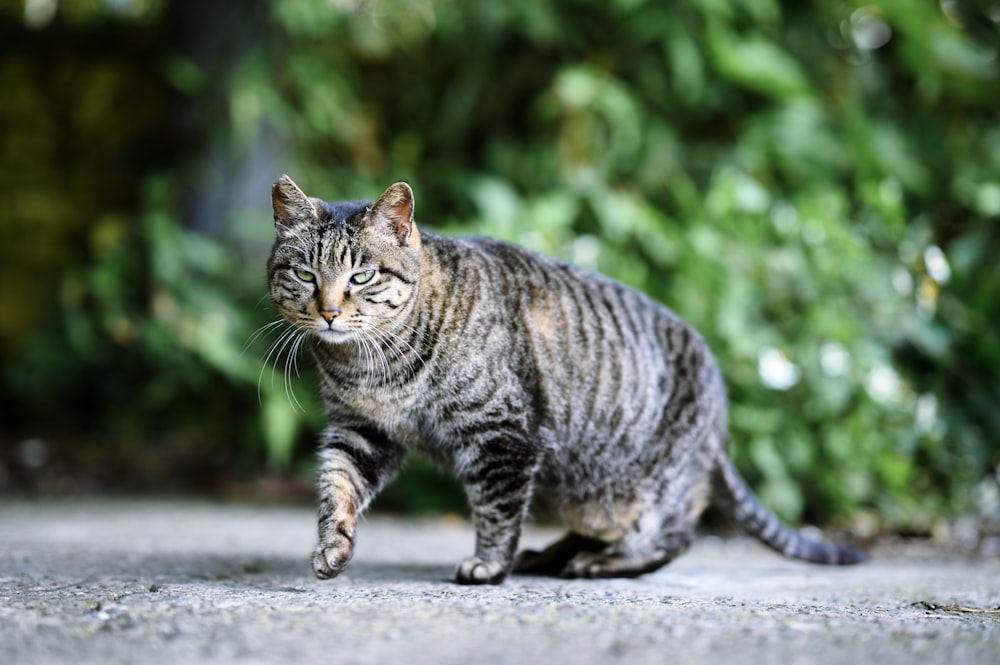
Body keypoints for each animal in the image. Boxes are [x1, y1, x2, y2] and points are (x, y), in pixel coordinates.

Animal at [266, 174, 868, 584]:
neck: (373, 366)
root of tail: (720, 410)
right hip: (586, 491)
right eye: (305, 273)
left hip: (645, 489)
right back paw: (552, 554)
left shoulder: (502, 435)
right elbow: (337, 486)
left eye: (361, 276)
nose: (328, 312)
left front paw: (489, 565)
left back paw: (596, 563)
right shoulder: (361, 431)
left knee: (673, 537)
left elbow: (497, 508)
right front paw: (334, 544)